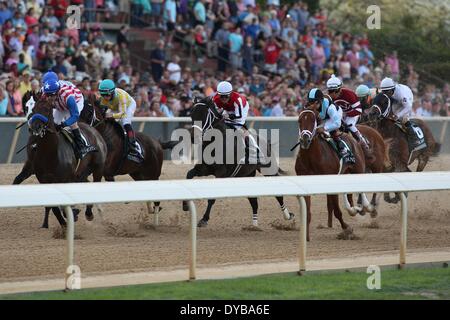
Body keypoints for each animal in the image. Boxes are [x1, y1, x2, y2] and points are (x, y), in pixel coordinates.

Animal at [14, 91, 107, 228]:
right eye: (28, 107)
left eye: (47, 109)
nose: (35, 127)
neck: (50, 154)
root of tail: (95, 132)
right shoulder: (42, 177)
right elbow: (53, 206)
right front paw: (63, 221)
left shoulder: (67, 178)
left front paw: (71, 215)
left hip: (98, 168)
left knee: (94, 185)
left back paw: (88, 213)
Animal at [181, 97, 294, 228]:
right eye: (192, 115)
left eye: (204, 115)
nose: (193, 137)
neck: (216, 142)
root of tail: (266, 143)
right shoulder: (203, 169)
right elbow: (189, 174)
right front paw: (185, 205)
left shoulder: (221, 174)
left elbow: (212, 198)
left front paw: (204, 219)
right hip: (247, 174)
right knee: (253, 200)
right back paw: (254, 225)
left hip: (269, 170)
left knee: (278, 195)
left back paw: (287, 215)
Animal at [294, 107, 370, 240]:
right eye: (299, 121)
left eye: (313, 120)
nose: (305, 140)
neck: (311, 158)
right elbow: (308, 211)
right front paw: (306, 236)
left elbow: (337, 210)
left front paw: (347, 228)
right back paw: (352, 209)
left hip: (358, 169)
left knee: (361, 190)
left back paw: (364, 207)